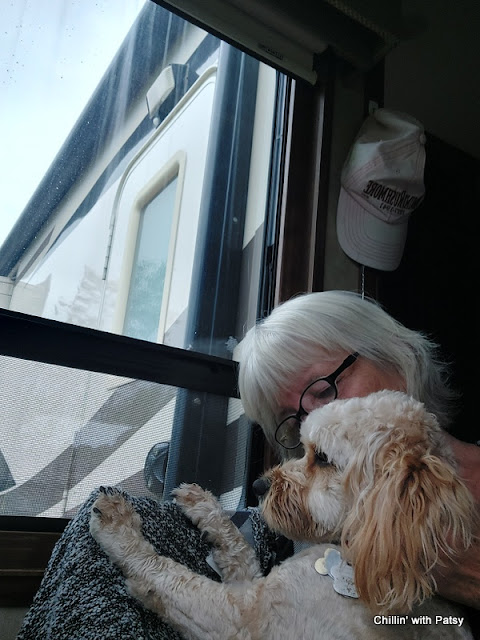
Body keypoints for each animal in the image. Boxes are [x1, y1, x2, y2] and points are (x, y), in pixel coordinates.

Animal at [90, 390, 476, 639]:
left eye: (322, 458)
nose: (258, 485)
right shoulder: (259, 591)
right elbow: (240, 550)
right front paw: (205, 507)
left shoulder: (243, 615)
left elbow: (172, 576)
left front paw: (119, 526)